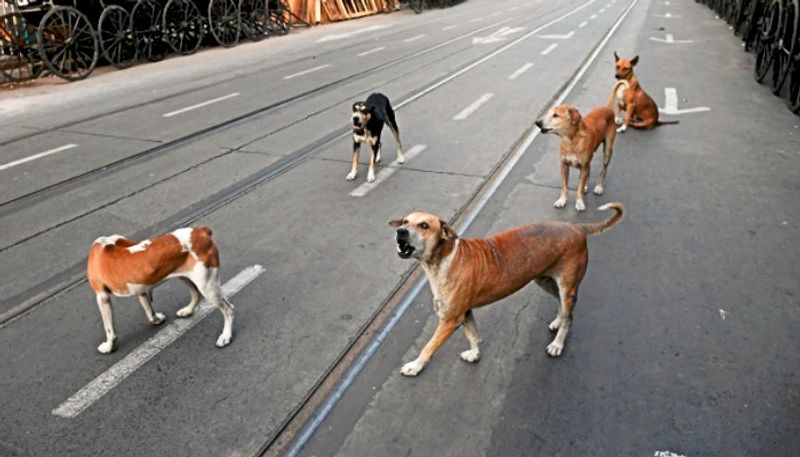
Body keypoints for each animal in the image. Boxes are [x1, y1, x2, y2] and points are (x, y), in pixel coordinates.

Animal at [87, 227, 233, 352]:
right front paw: (156, 320)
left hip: (207, 286)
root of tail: (201, 231)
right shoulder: (141, 288)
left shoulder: (102, 297)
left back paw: (225, 336)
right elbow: (149, 309)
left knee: (228, 309)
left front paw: (108, 347)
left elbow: (109, 329)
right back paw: (187, 311)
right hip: (186, 277)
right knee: (196, 294)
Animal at [390, 202, 620, 374]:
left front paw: (414, 366)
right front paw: (474, 353)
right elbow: (473, 335)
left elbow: (429, 346)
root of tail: (578, 228)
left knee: (569, 317)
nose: (400, 231)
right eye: (405, 221)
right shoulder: (465, 312)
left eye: (424, 225)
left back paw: (557, 344)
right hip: (545, 281)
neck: (444, 258)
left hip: (567, 286)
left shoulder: (449, 320)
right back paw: (557, 321)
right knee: (561, 306)